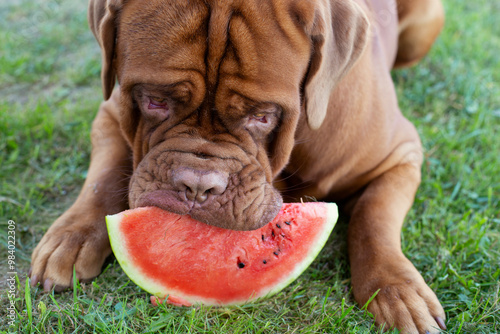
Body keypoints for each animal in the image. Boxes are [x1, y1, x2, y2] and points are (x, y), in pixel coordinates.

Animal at [30, 1, 446, 332]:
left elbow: (373, 219)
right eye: (154, 100)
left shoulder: (400, 156)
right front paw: (73, 238)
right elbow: (101, 180)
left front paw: (396, 290)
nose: (197, 185)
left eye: (262, 116)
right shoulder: (109, 116)